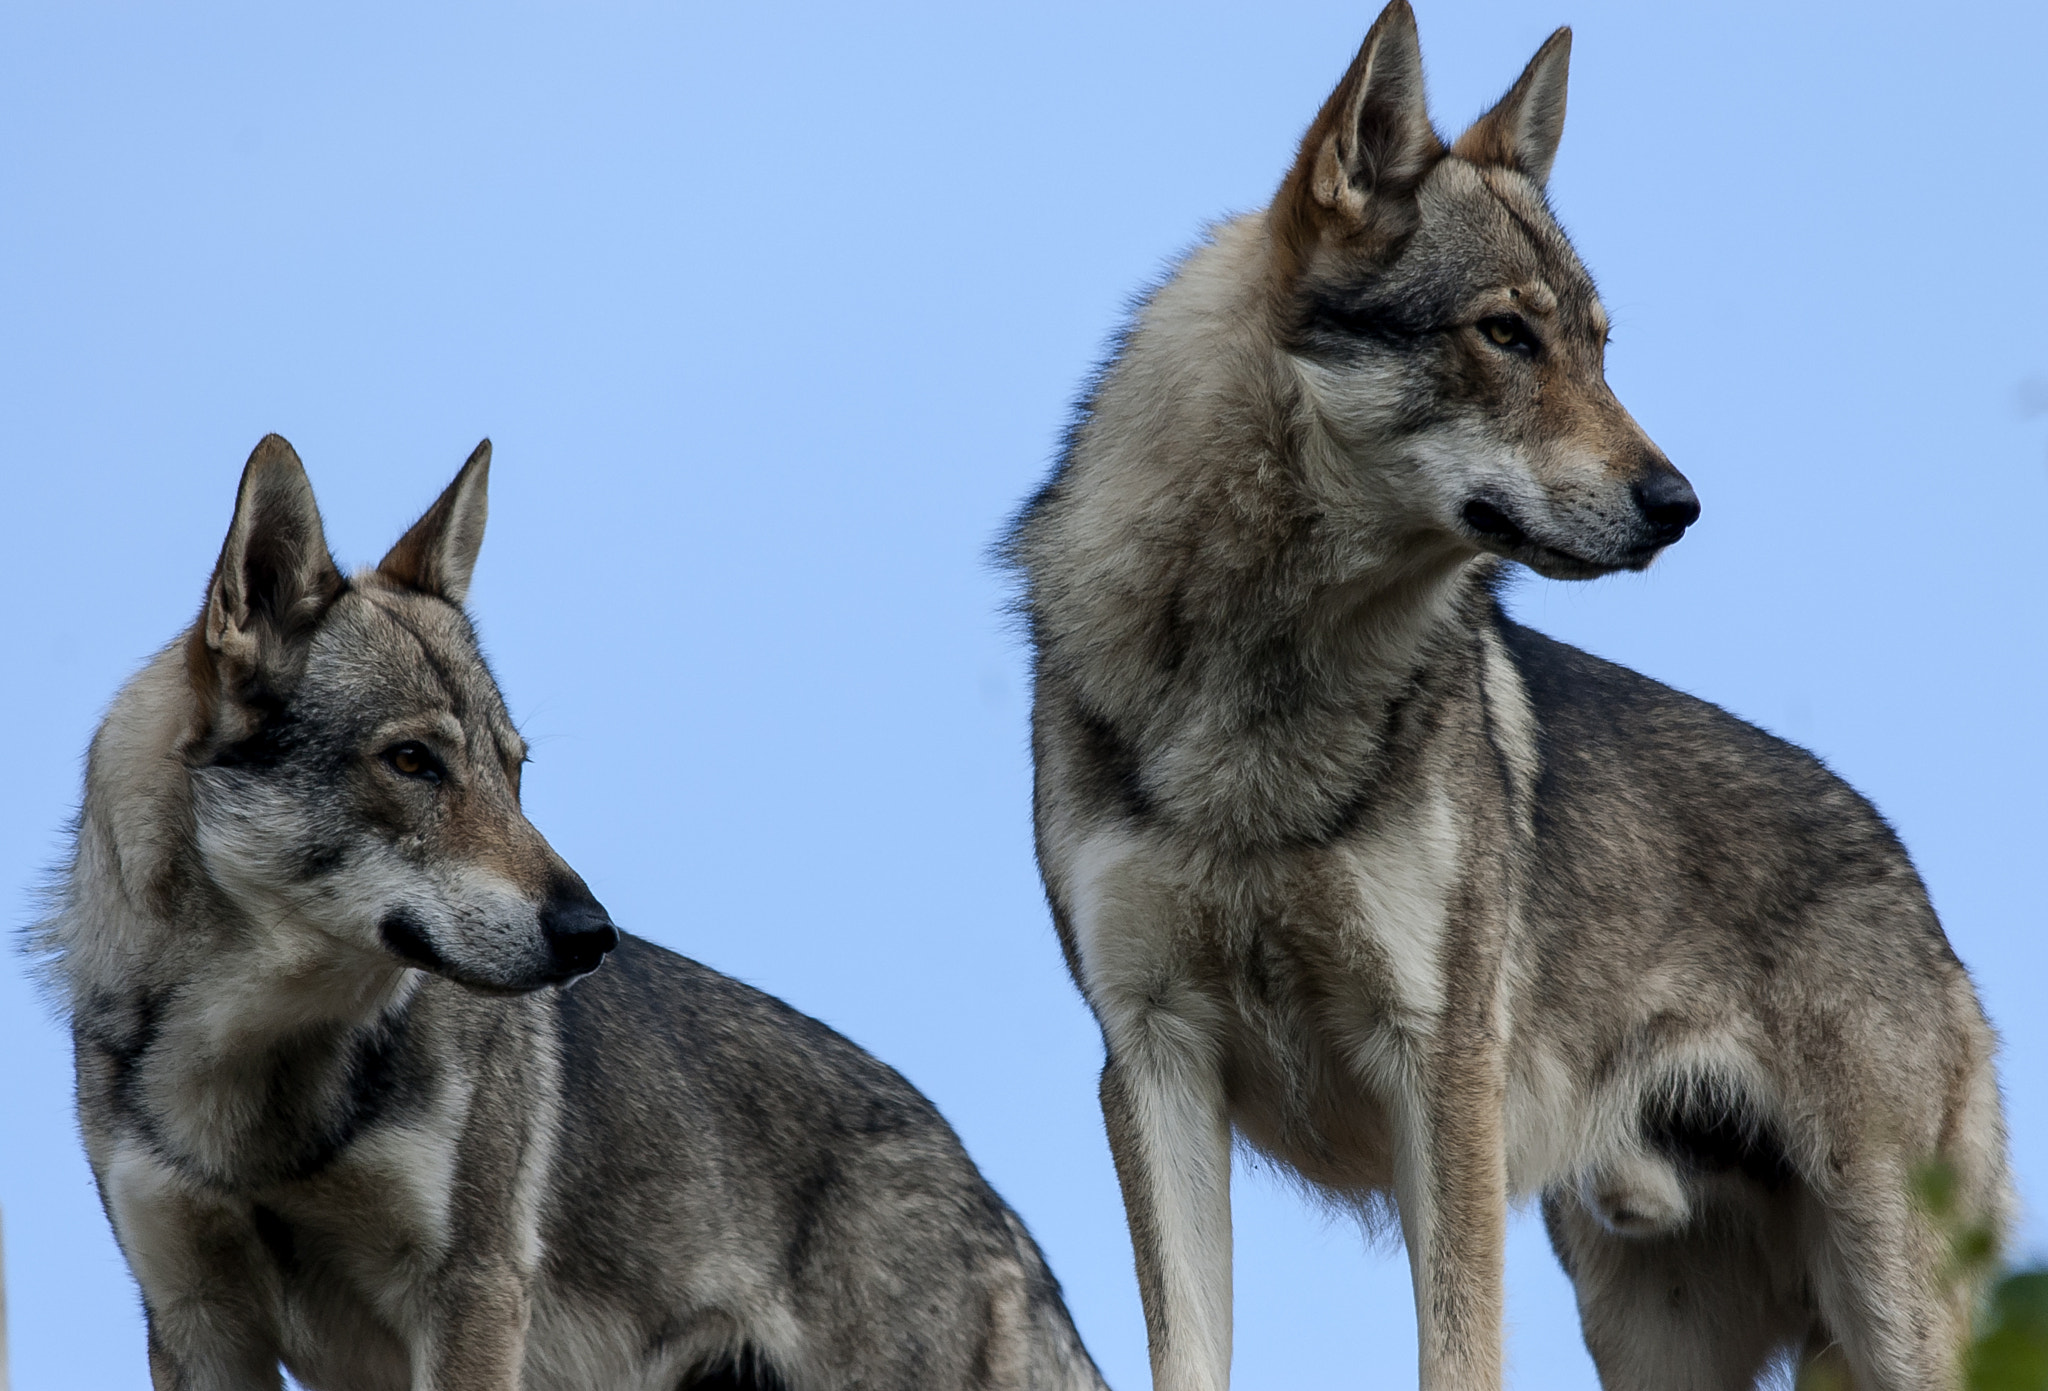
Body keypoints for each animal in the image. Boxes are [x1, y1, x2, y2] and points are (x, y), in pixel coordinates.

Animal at [38, 435, 1108, 1391]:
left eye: (515, 772)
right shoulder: (196, 1322)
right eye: (413, 761)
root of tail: (987, 1194)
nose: (593, 935)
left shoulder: (470, 1298)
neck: (258, 1082)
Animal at [1006, 5, 2011, 1388]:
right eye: (1503, 333)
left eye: (1597, 344)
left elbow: (1454, 1348)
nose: (1677, 505)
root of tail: (1910, 882)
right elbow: (1188, 1352)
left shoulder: (1440, 1070)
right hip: (1649, 1331)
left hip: (1885, 1305)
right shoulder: (1152, 1058)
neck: (1263, 690)